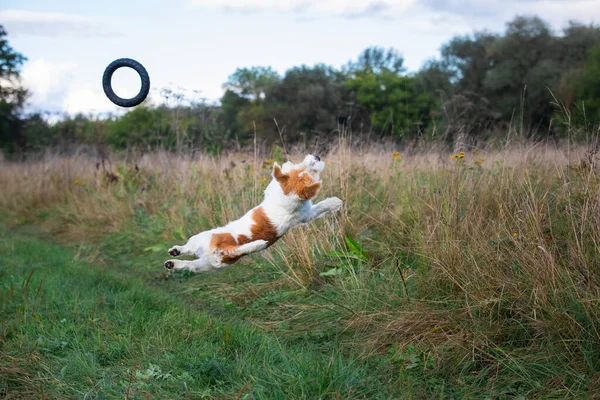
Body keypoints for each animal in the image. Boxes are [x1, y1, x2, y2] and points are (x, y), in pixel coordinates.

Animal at [164, 155, 342, 274]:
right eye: (311, 170)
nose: (317, 157)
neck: (286, 195)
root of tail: (227, 249)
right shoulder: (305, 212)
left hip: (209, 261)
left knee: (190, 261)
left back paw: (173, 259)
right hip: (207, 249)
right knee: (189, 253)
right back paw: (174, 255)